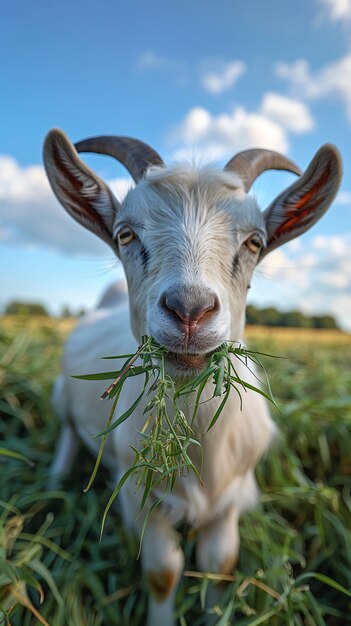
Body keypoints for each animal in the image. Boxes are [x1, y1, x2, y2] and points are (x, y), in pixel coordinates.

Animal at [42, 128, 342, 624]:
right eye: (125, 233)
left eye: (255, 241)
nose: (189, 310)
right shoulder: (141, 494)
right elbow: (164, 571)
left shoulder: (231, 500)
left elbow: (219, 564)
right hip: (62, 398)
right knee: (66, 434)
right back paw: (56, 481)